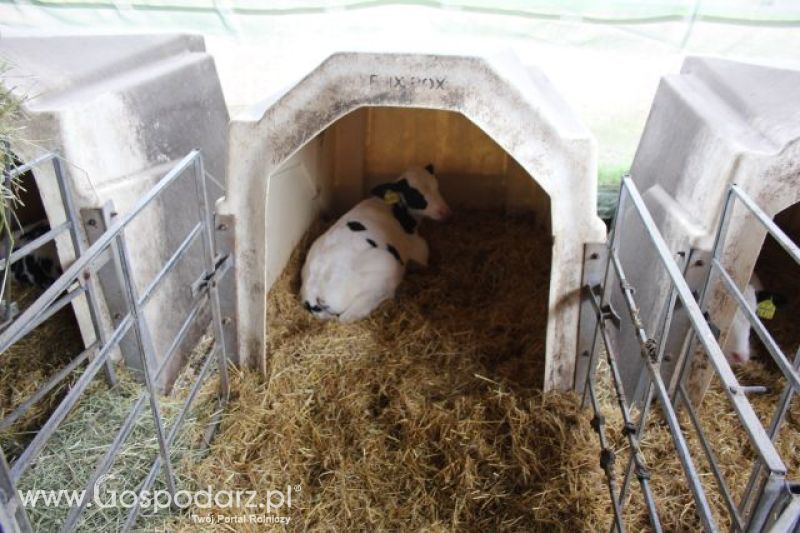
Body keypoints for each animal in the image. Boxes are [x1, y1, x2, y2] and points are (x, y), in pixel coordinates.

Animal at [300, 164, 450, 320]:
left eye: (437, 186)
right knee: (348, 316)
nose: (445, 212)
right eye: (415, 195)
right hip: (386, 268)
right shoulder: (419, 250)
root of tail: (314, 290)